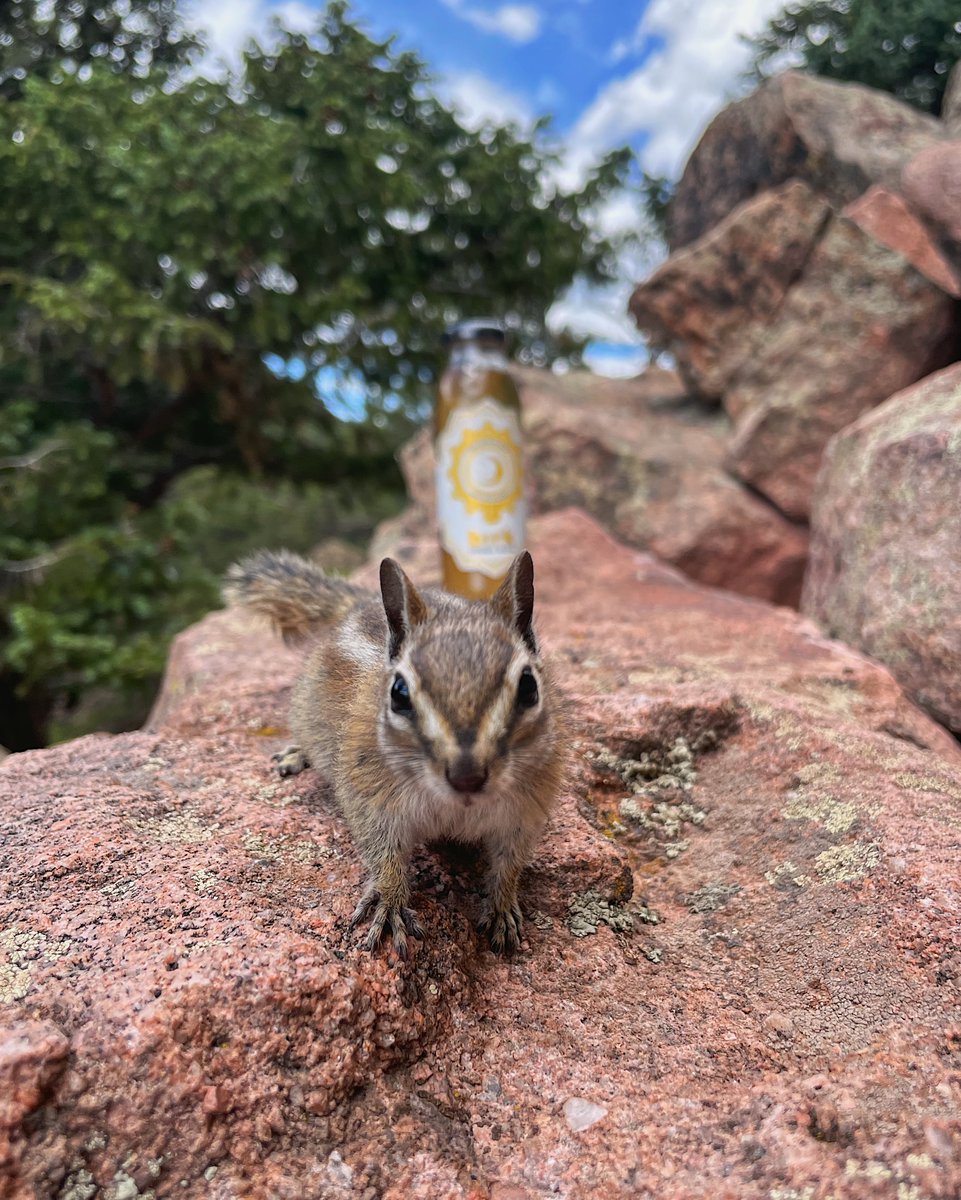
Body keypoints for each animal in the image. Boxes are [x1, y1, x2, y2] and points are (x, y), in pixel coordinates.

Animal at [223, 549, 565, 957]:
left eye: (529, 686)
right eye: (399, 693)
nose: (467, 776)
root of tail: (359, 602)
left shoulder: (524, 813)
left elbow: (509, 864)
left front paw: (502, 907)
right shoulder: (371, 794)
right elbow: (381, 851)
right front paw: (390, 901)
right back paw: (296, 753)